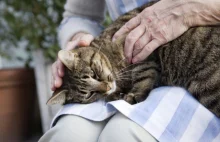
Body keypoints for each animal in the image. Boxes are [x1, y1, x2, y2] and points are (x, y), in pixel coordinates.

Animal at [46, 1, 220, 116]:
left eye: (93, 74)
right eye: (89, 94)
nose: (106, 87)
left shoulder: (141, 53)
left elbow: (143, 75)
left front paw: (132, 95)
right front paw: (116, 95)